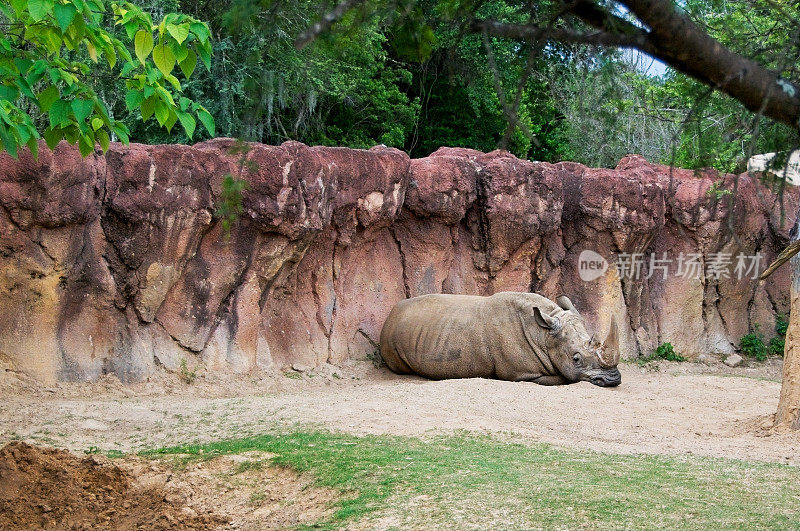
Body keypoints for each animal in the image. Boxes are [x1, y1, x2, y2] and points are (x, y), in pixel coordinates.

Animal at [378, 294, 620, 388]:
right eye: (576, 359)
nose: (614, 379)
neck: (543, 334)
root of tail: (389, 316)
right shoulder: (522, 374)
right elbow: (564, 378)